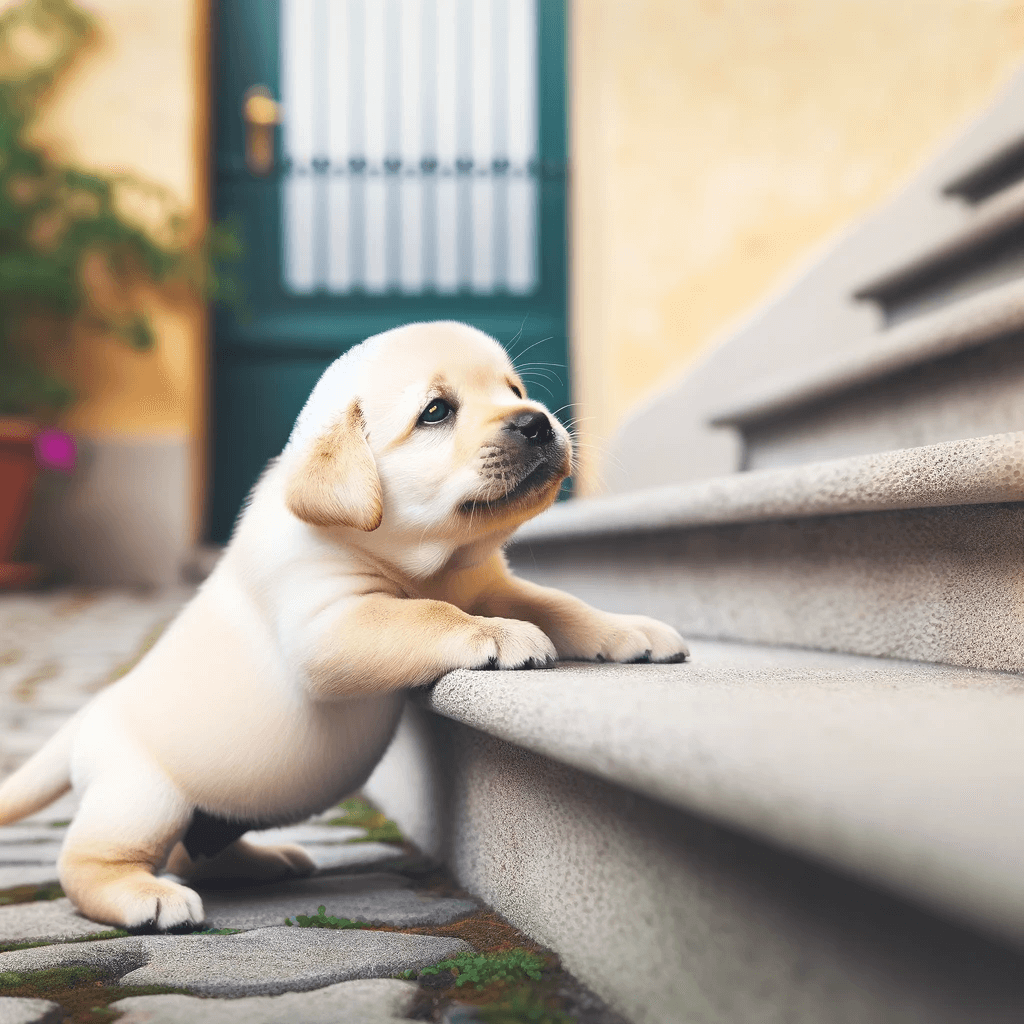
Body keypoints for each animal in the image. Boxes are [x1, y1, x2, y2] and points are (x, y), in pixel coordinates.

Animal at [0, 323, 692, 933]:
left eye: (514, 390)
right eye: (436, 412)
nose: (537, 421)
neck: (430, 564)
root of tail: (86, 720)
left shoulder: (493, 584)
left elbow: (559, 603)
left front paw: (630, 630)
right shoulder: (331, 625)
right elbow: (427, 614)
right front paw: (501, 635)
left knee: (198, 849)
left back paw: (263, 861)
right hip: (142, 794)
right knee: (87, 862)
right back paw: (145, 897)